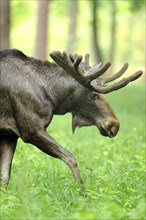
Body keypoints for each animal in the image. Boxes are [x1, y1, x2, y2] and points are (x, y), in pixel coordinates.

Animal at [0, 49, 143, 187]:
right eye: (94, 95)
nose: (114, 124)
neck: (53, 99)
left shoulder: (10, 136)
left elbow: (5, 178)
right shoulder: (31, 130)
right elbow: (71, 158)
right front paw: (82, 190)